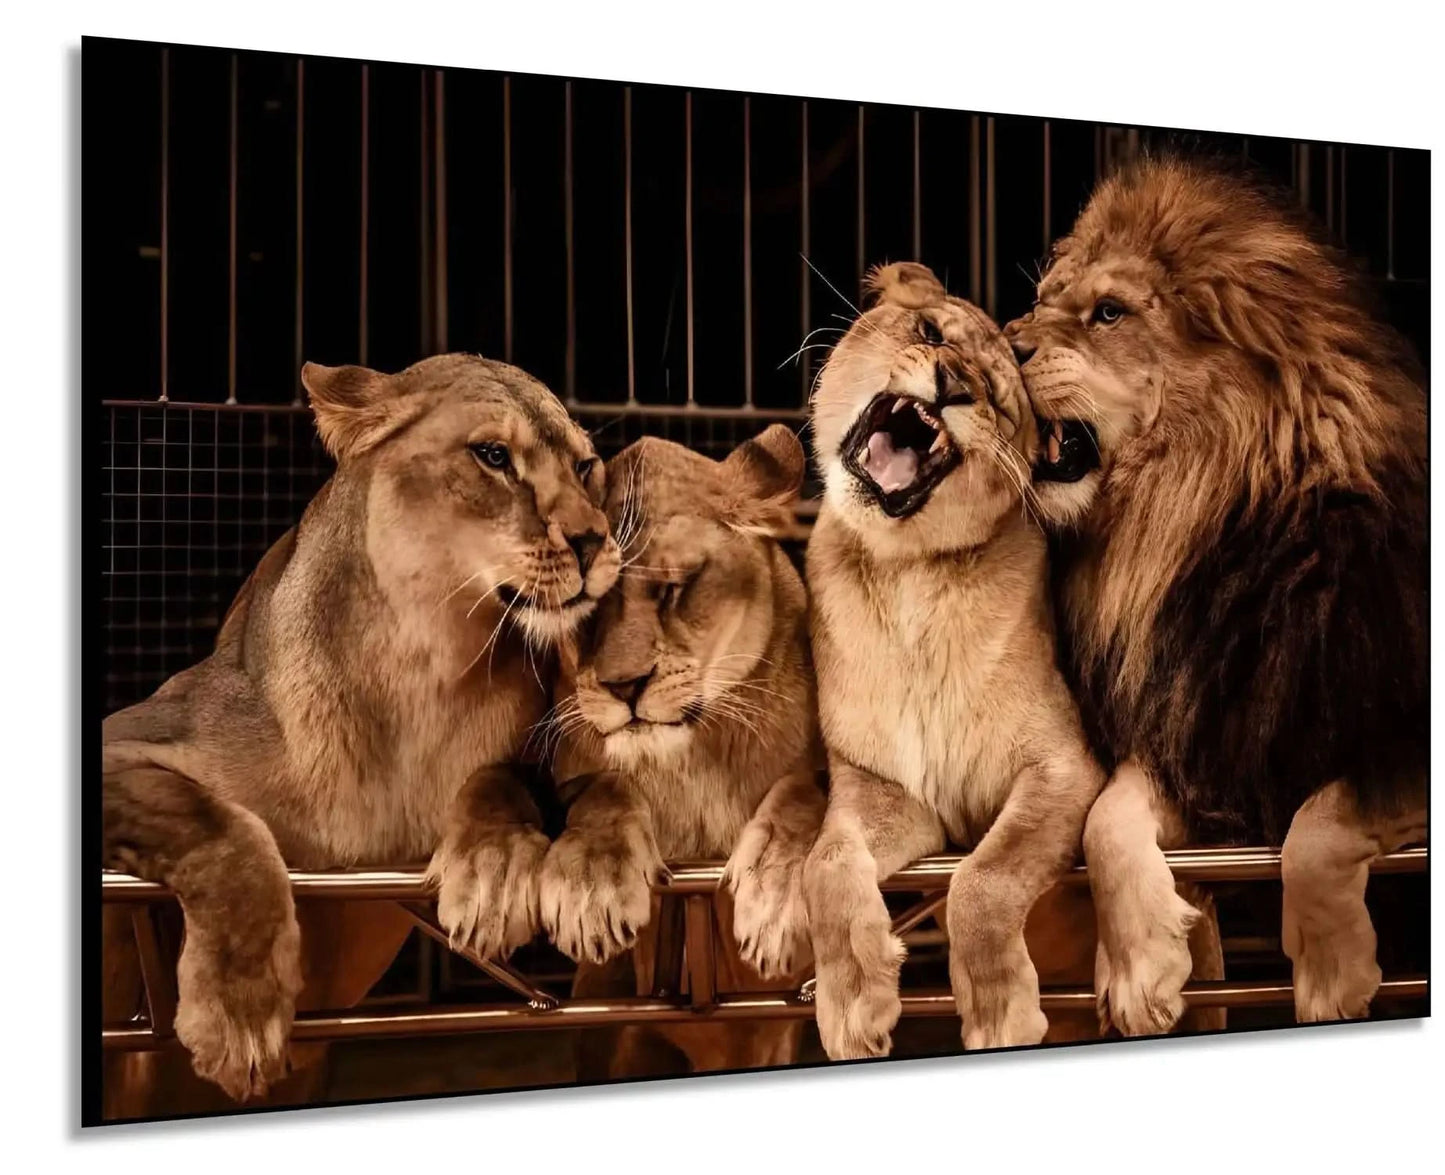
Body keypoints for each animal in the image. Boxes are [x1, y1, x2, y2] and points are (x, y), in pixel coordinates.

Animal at [101, 353, 621, 1111]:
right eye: (494, 456)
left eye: (585, 466)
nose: (593, 541)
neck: (422, 667)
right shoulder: (127, 736)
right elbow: (217, 824)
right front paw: (238, 1016)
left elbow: (500, 778)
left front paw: (492, 874)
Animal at [541, 427, 825, 1077]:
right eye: (585, 611)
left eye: (672, 589)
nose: (623, 687)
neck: (688, 759)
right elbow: (603, 789)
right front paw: (592, 885)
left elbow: (807, 793)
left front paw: (775, 895)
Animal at [802, 261, 1106, 1060]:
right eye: (930, 332)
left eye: (997, 400)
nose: (950, 384)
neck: (907, 573)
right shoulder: (882, 787)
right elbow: (826, 863)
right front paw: (854, 1003)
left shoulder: (1063, 767)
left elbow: (984, 879)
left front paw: (1000, 1013)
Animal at [1007, 156, 1428, 1035]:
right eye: (1043, 298)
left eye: (1108, 312)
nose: (1002, 338)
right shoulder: (1204, 730)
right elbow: (1106, 815)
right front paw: (1139, 968)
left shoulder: (1387, 730)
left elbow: (1322, 819)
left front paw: (1331, 975)